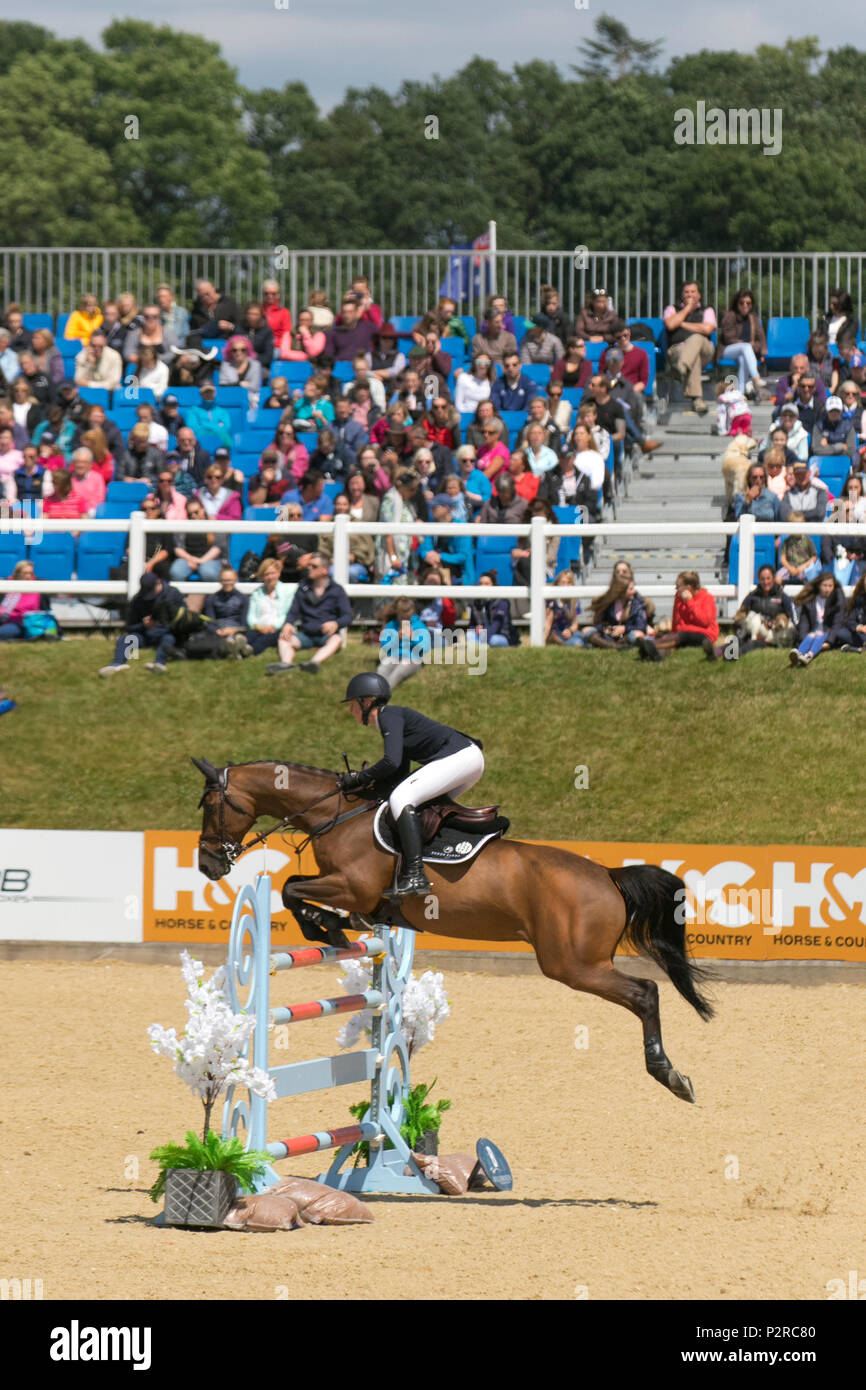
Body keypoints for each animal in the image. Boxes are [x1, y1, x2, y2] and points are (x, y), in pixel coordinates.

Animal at [193, 757, 714, 1103]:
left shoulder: (353, 887)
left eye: (210, 805)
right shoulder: (350, 889)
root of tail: (607, 874)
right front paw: (336, 927)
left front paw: (330, 928)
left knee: (646, 992)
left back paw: (671, 1076)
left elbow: (290, 889)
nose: (206, 864)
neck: (337, 815)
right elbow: (294, 890)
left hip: (573, 964)